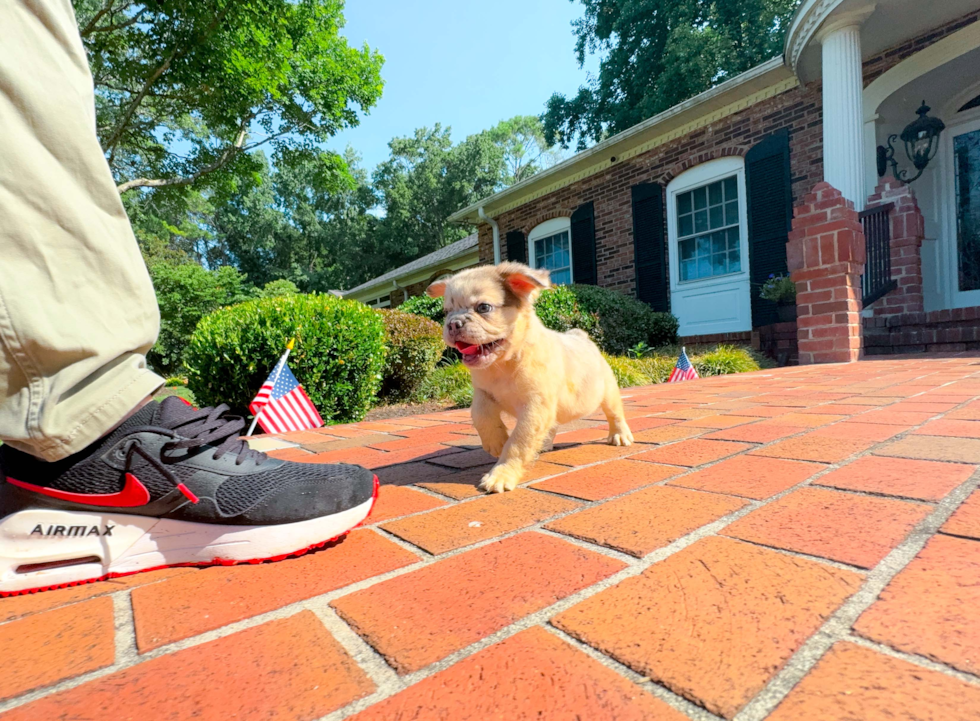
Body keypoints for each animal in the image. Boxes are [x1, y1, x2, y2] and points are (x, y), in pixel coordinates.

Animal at [428, 262, 636, 492]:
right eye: (447, 311)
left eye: (483, 307)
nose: (453, 323)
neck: (504, 364)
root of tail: (580, 335)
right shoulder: (483, 393)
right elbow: (480, 415)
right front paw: (496, 442)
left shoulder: (535, 406)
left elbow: (518, 443)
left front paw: (501, 475)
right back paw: (544, 443)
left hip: (608, 392)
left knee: (615, 414)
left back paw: (620, 435)